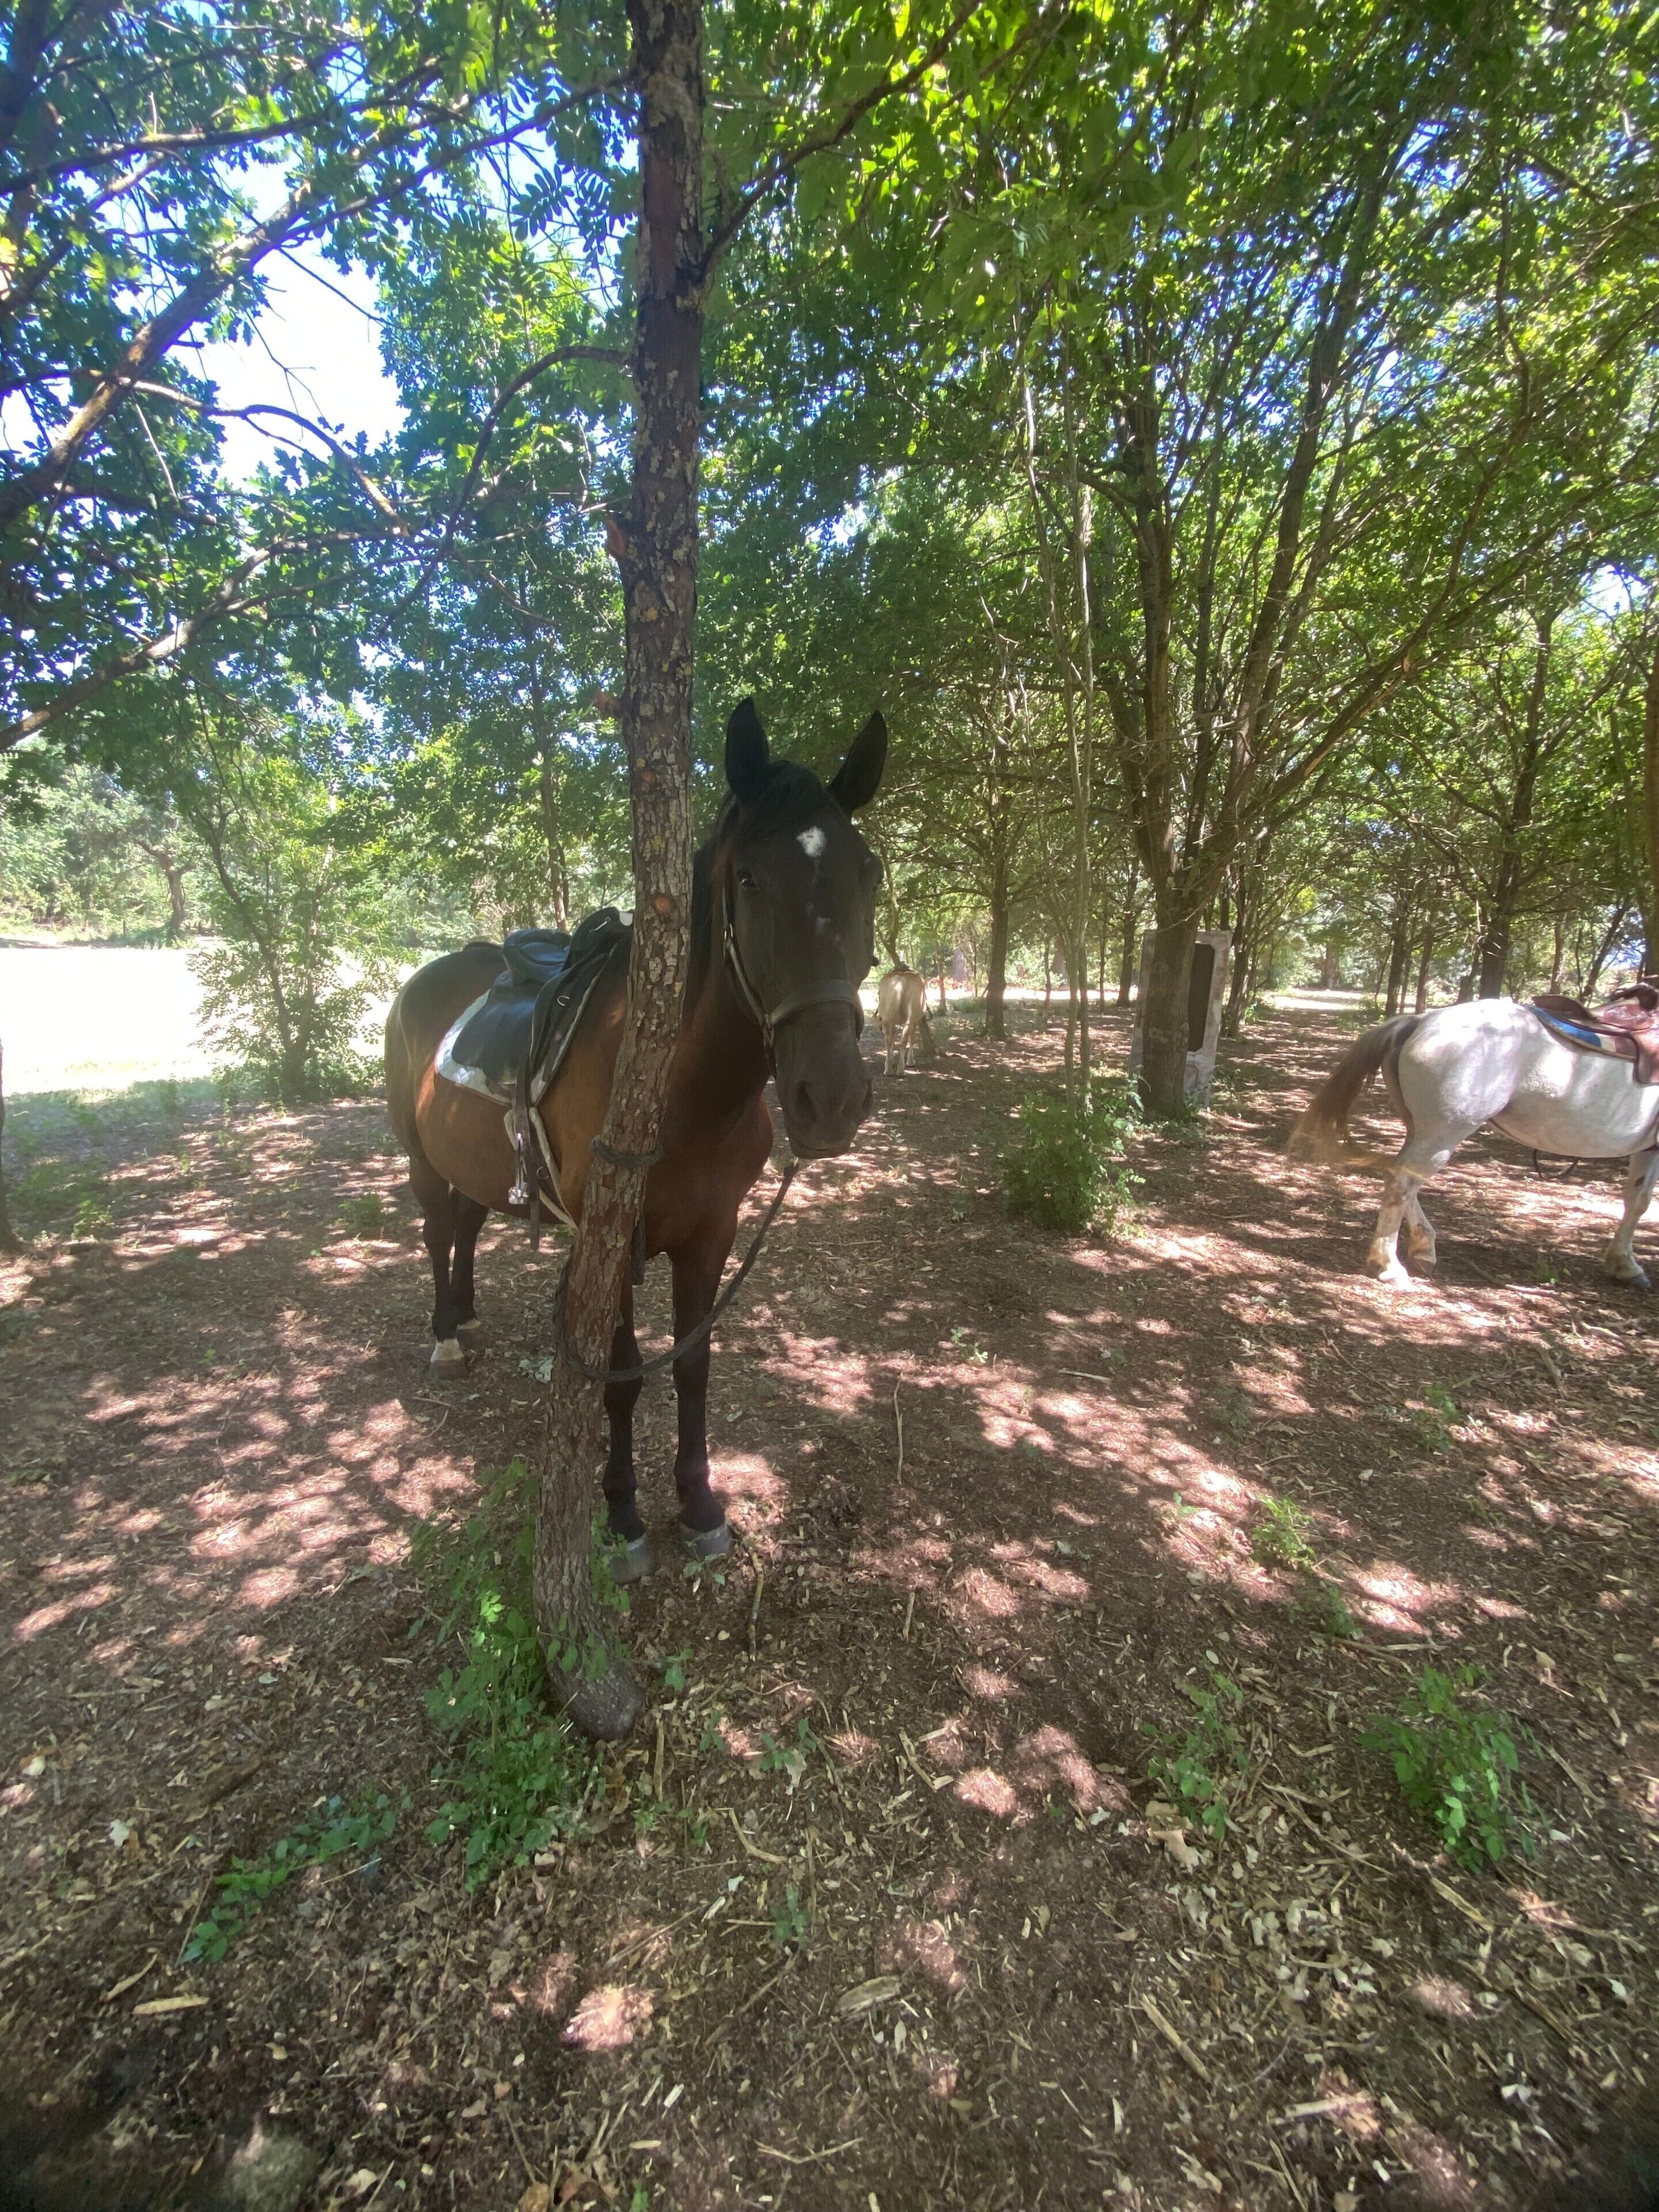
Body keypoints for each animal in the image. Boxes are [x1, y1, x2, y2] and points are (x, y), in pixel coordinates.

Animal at [384, 699, 887, 1573]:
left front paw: (699, 1505)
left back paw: (469, 1316)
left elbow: (692, 1366)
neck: (682, 1095)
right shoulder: (611, 1239)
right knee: (436, 1229)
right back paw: (446, 1336)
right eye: (749, 879)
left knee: (467, 1224)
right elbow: (622, 1376)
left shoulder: (713, 1232)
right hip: (418, 1157)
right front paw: (621, 1516)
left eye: (869, 874)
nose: (830, 1099)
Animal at [877, 962, 930, 1075]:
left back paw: (888, 1069)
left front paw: (891, 1061)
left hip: (887, 1018)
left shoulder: (892, 1021)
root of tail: (900, 982)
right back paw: (901, 1069)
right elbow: (912, 1038)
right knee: (904, 1039)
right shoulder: (915, 1021)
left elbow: (892, 1037)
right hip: (910, 1018)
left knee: (888, 1039)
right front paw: (911, 1060)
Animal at [1288, 998, 1659, 1288]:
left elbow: (1636, 1200)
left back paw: (1423, 1250)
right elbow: (1640, 1203)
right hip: (1445, 1132)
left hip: (1423, 1128)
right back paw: (1389, 1266)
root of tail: (1420, 1020)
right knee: (1402, 1181)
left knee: (1402, 1173)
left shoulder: (1647, 1150)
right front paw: (1627, 1264)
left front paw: (1623, 1263)